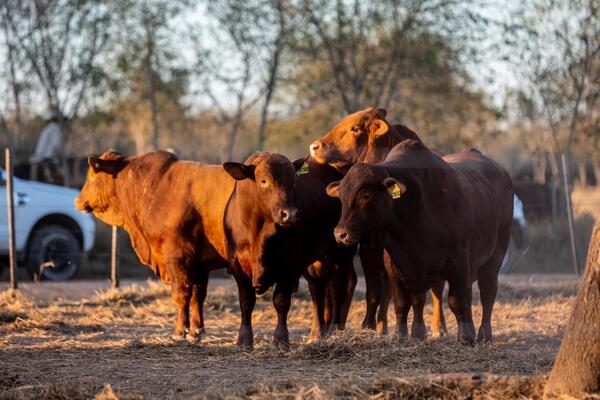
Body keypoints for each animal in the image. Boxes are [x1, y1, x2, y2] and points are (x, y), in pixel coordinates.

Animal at [74, 150, 300, 344]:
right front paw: (197, 330)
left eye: (92, 175)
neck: (153, 186)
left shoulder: (177, 257)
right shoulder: (200, 263)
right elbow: (197, 297)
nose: (77, 200)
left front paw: (179, 331)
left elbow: (181, 295)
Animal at [326, 138, 512, 344]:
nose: (340, 234)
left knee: (488, 292)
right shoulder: (397, 263)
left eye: (366, 195)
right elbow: (403, 302)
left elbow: (456, 301)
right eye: (341, 196)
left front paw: (465, 338)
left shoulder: (459, 261)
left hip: (496, 254)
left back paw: (484, 334)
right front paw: (403, 334)